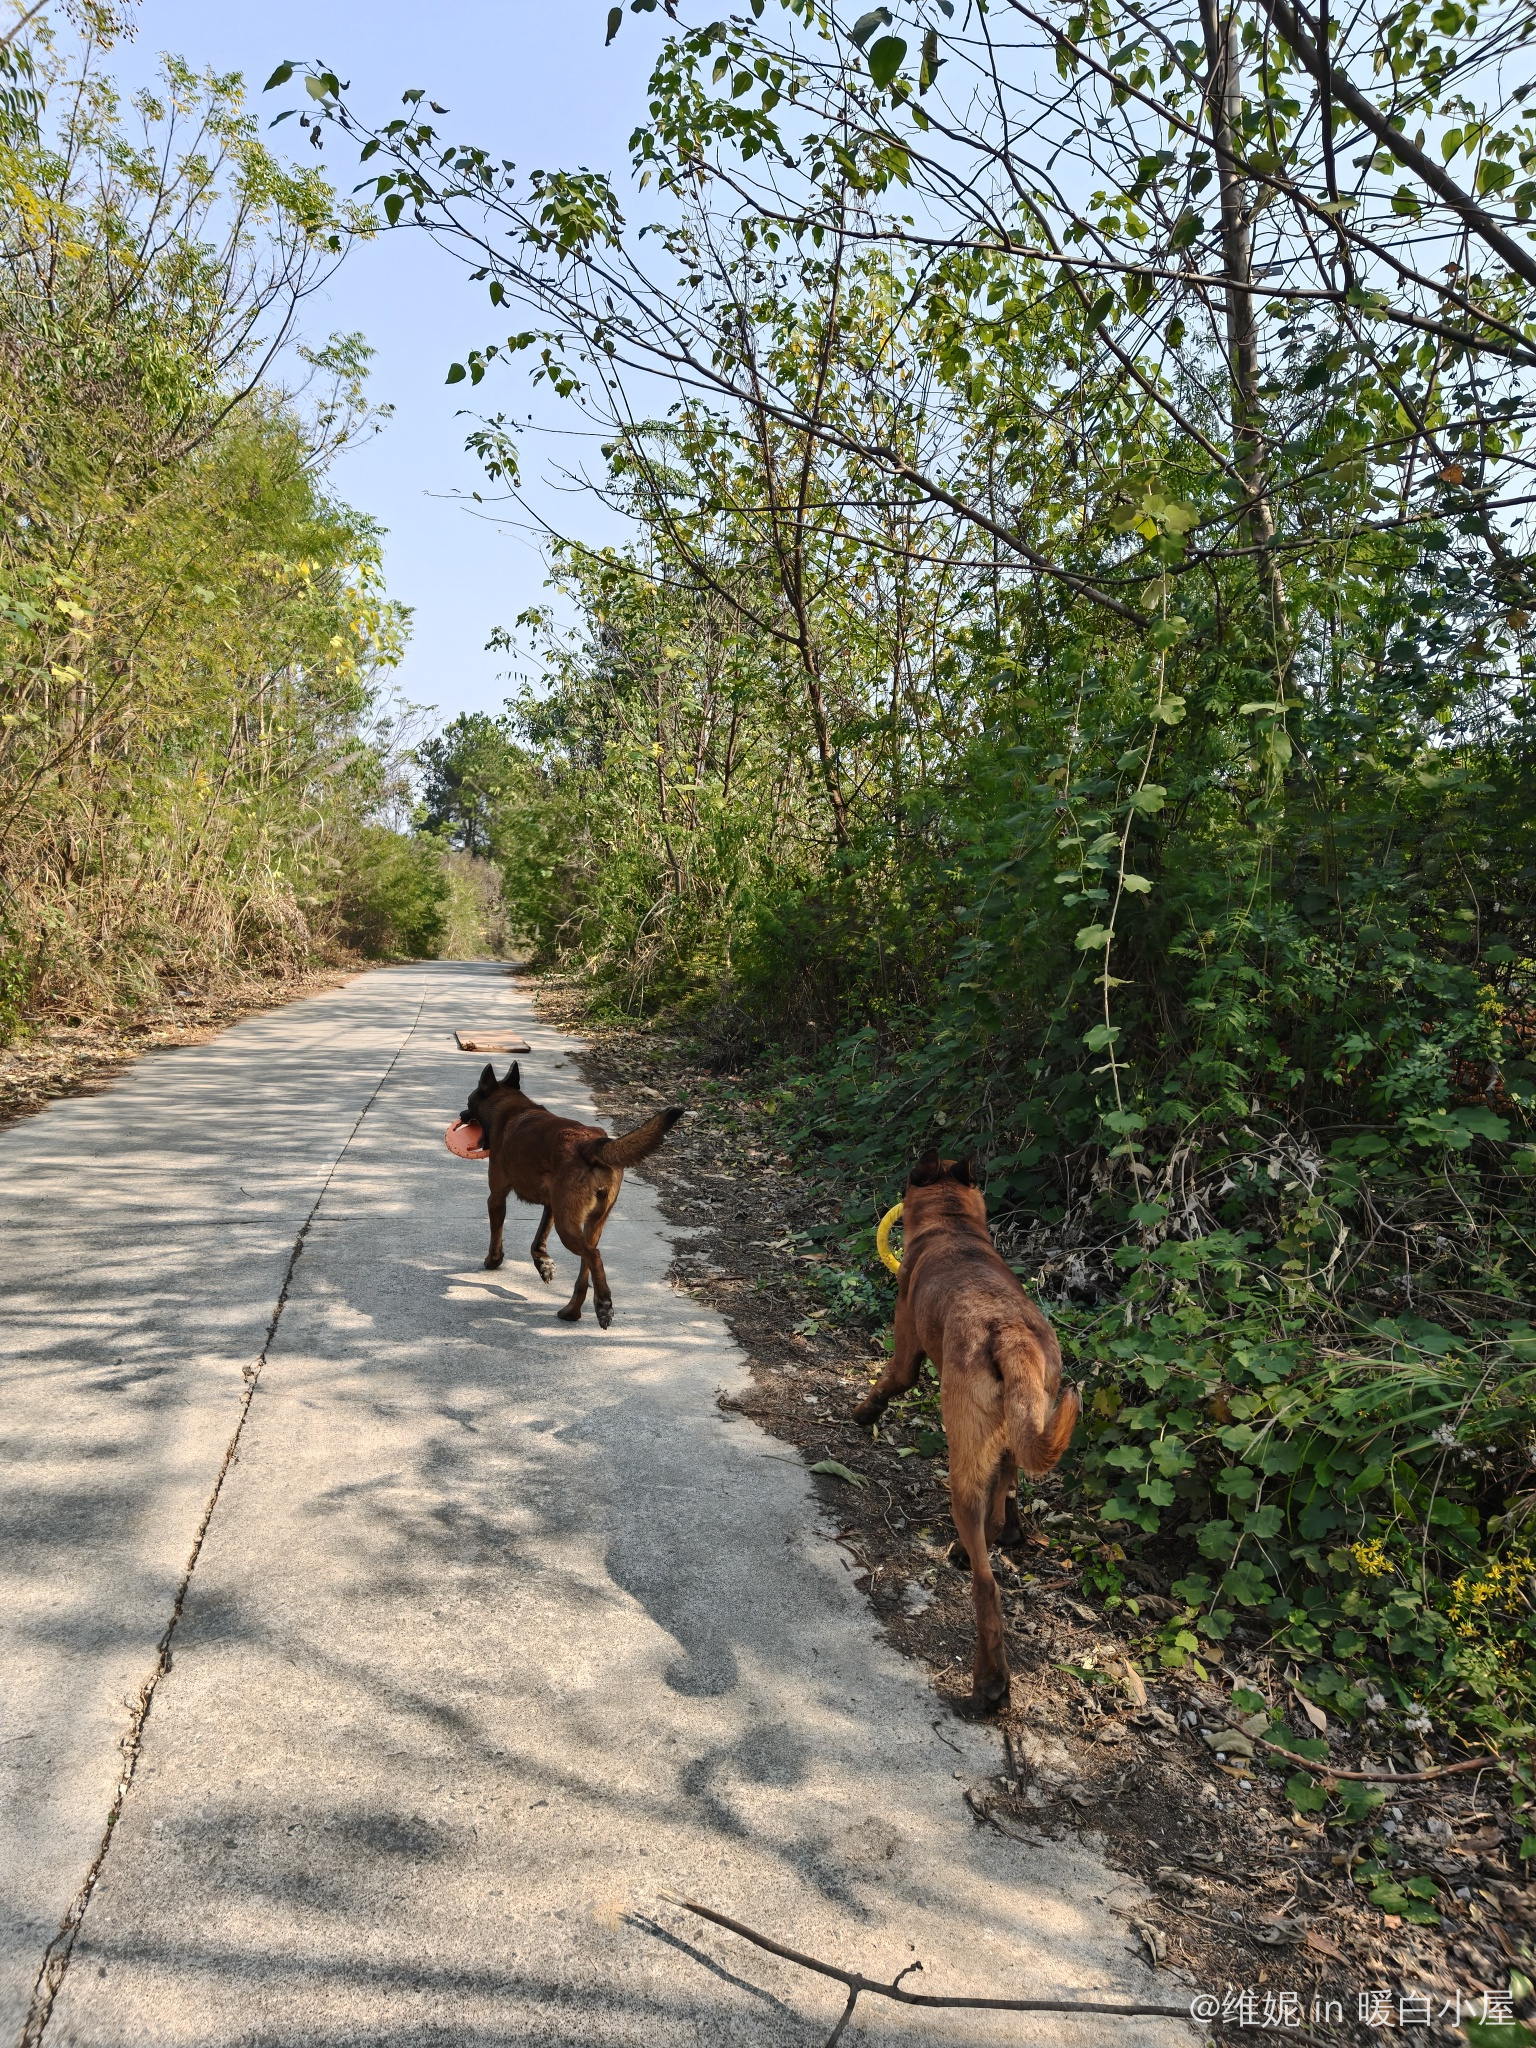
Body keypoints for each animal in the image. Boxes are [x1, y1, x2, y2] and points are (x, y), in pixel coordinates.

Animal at [460, 1063, 682, 1327]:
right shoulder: (552, 1206)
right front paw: (543, 1264)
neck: (513, 1108)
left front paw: (493, 1261)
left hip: (567, 1227)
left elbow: (497, 1236)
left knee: (594, 1255)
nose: (461, 1115)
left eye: (469, 1101)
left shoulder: (496, 1198)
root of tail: (590, 1145)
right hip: (589, 1223)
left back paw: (603, 1303)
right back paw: (574, 1311)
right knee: (586, 1270)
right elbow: (538, 1241)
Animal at [853, 1150, 1080, 1711]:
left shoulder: (905, 1351)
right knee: (1003, 1499)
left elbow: (888, 1383)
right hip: (1015, 1430)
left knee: (986, 1584)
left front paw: (864, 1413)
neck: (952, 1227)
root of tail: (1010, 1335)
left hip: (962, 1465)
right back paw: (998, 1535)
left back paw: (990, 1684)